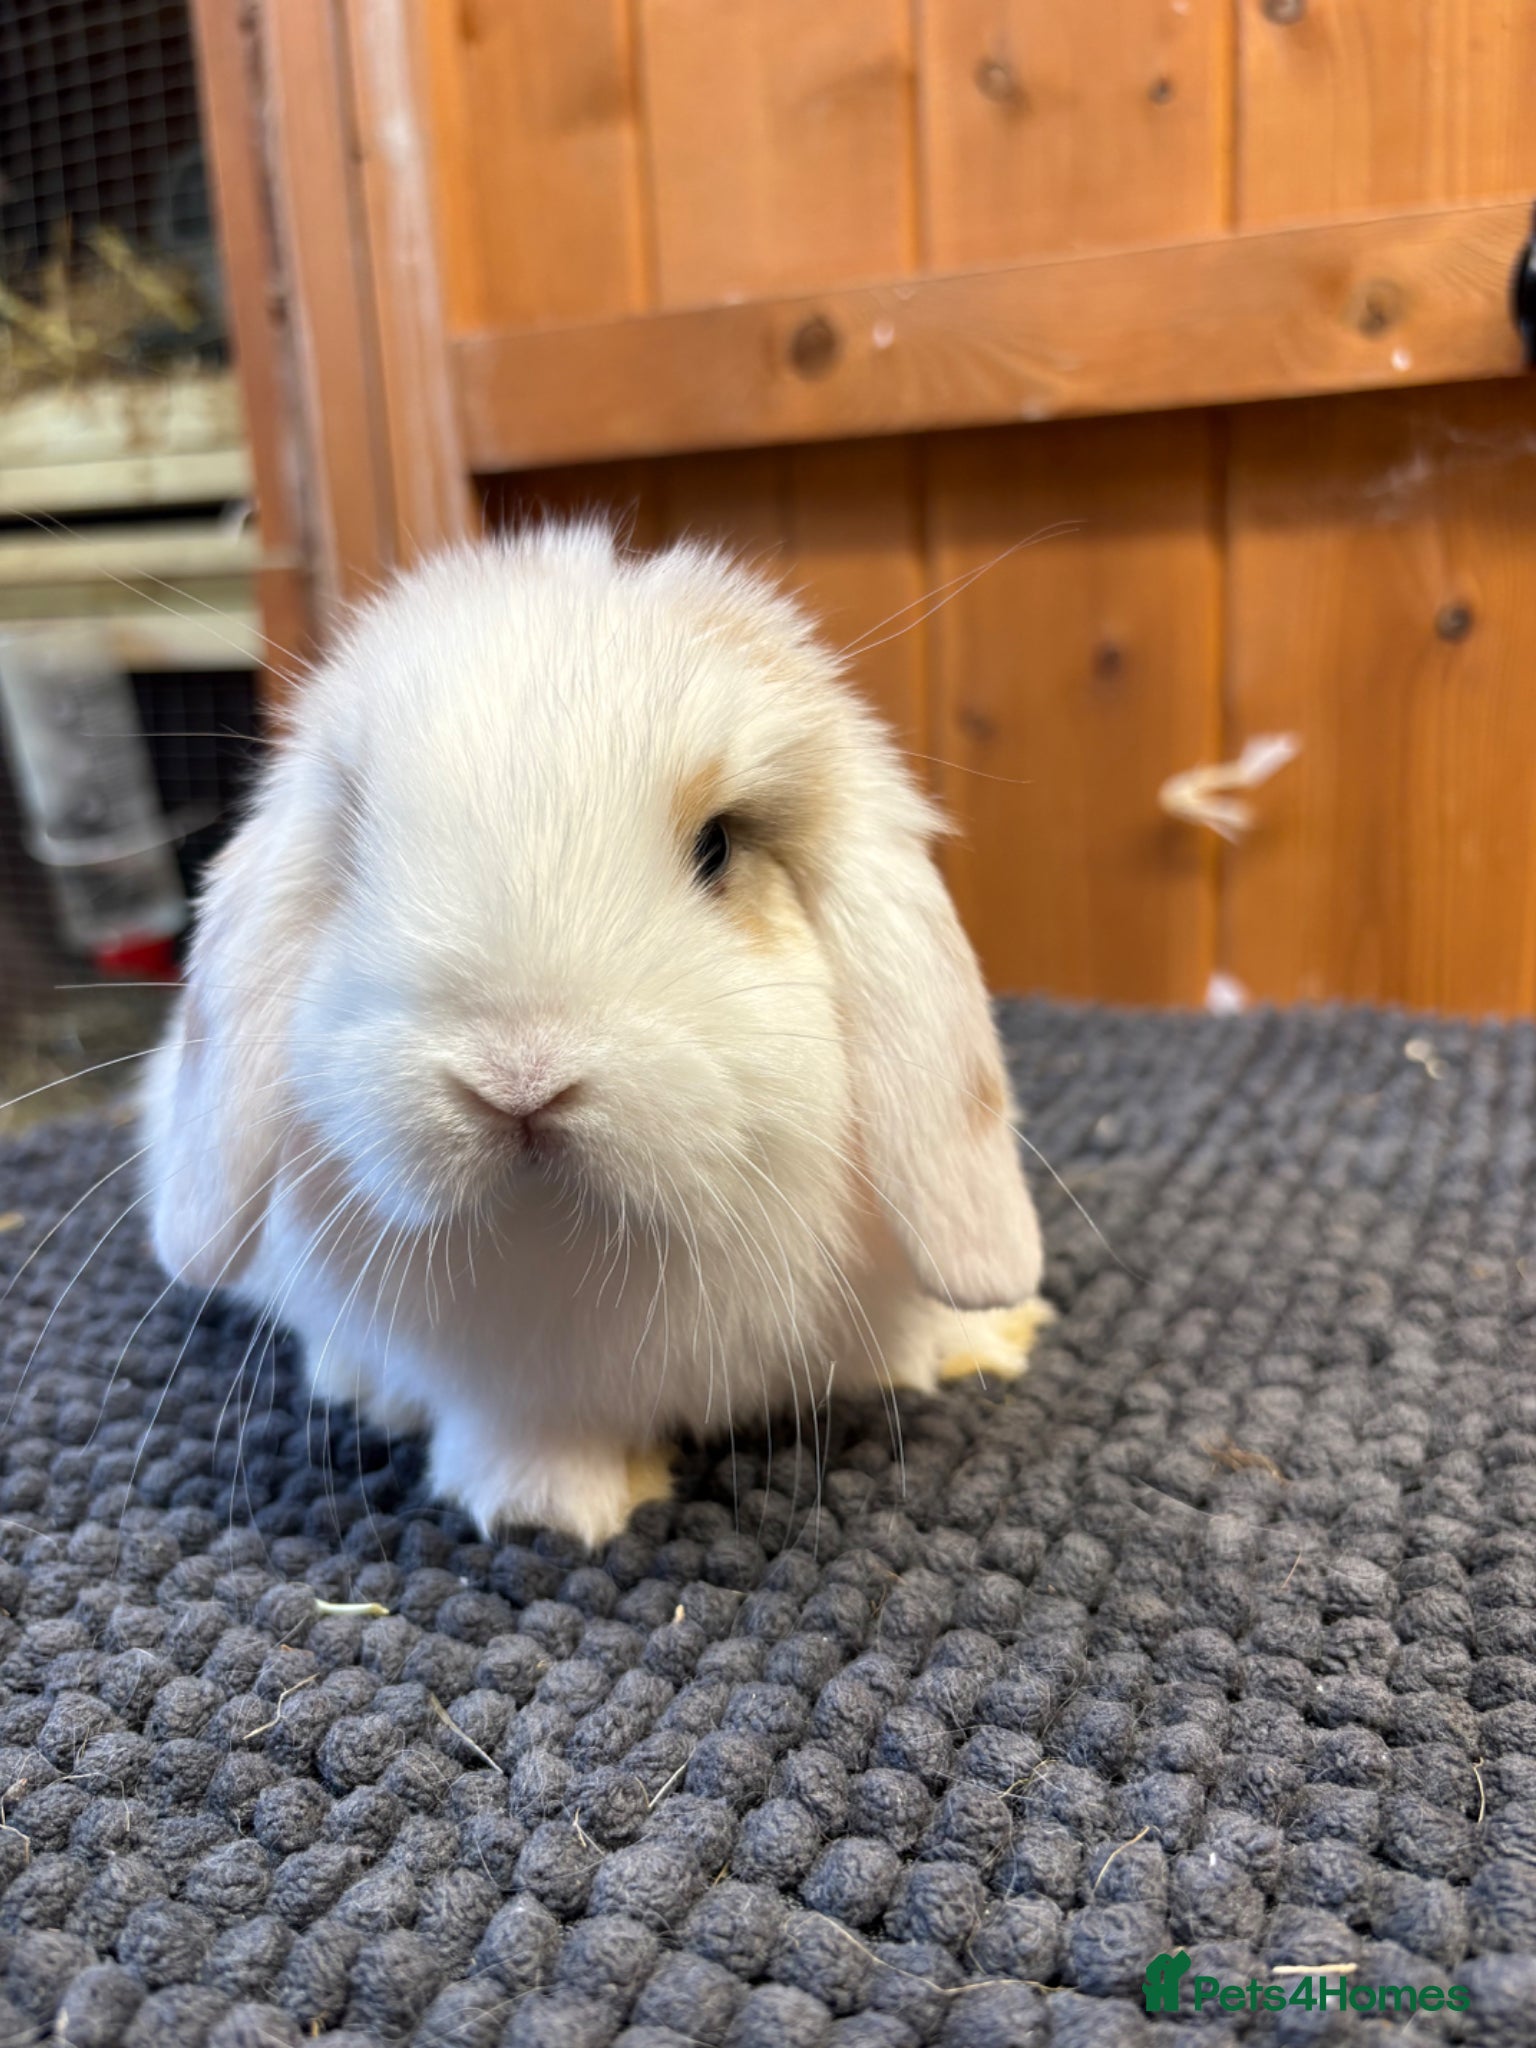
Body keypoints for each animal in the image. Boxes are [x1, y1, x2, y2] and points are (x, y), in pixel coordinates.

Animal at [141, 523, 1047, 1545]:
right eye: (358, 850)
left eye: (718, 846)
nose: (519, 1081)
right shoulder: (508, 1385)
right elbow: (525, 1426)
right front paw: (551, 1507)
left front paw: (973, 1342)